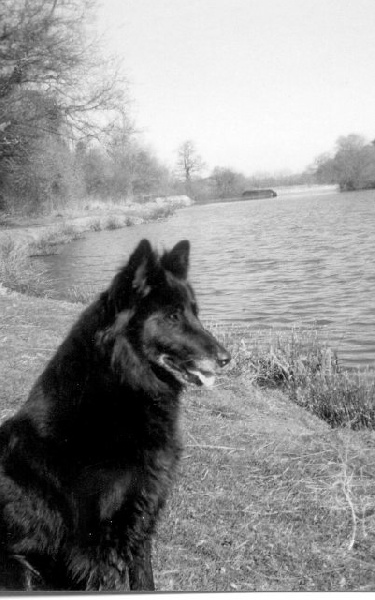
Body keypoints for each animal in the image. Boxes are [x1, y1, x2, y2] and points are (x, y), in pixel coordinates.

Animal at [0, 239, 229, 592]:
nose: (226, 358)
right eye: (173, 316)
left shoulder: (141, 516)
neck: (122, 388)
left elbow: (144, 579)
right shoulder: (98, 541)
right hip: (18, 569)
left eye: (195, 313)